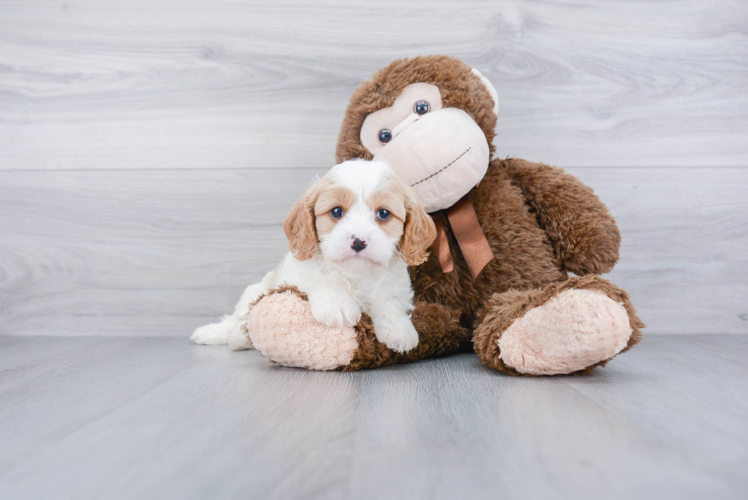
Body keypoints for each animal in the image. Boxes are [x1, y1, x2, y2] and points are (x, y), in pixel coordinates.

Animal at [191, 159, 438, 352]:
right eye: (336, 211)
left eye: (384, 214)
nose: (358, 241)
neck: (354, 275)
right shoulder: (296, 274)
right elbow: (319, 279)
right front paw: (337, 304)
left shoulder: (395, 287)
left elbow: (389, 302)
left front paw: (399, 329)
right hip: (254, 292)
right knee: (238, 318)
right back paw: (224, 334)